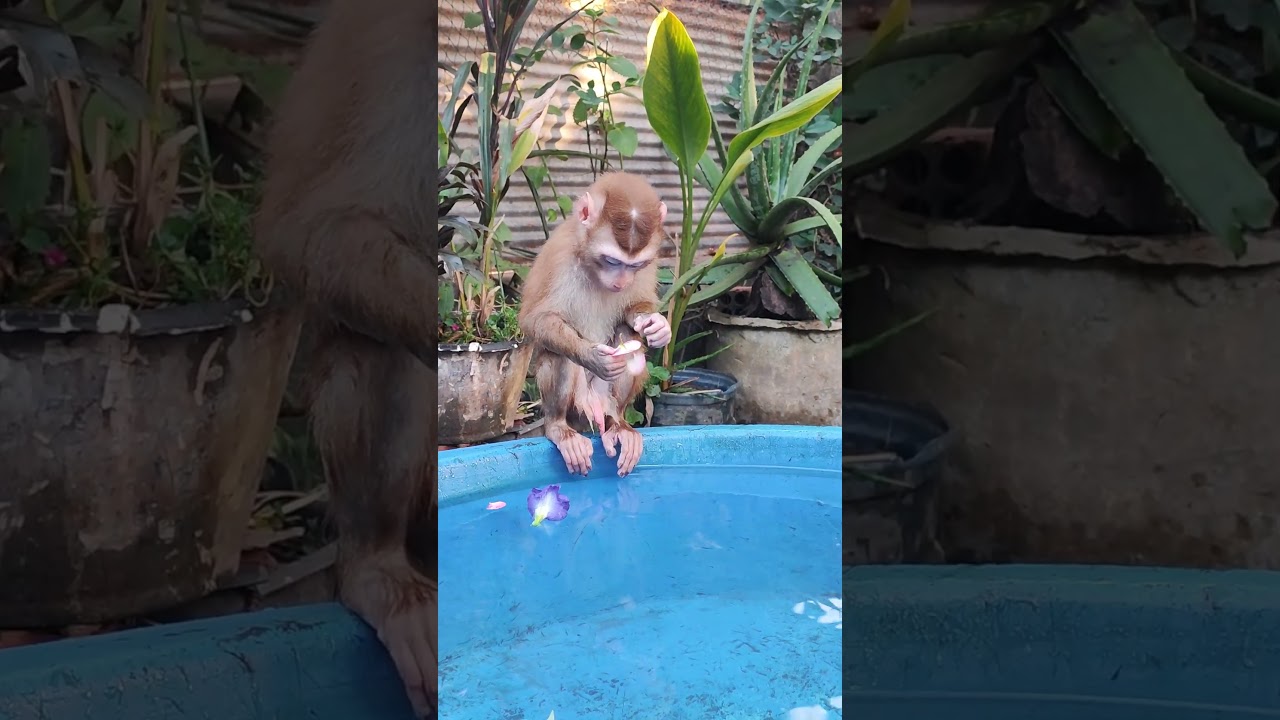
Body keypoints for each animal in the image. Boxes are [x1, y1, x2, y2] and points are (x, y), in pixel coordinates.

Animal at [518, 173, 673, 477]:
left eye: (634, 266)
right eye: (611, 260)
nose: (621, 282)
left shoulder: (650, 263)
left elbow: (636, 308)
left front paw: (659, 327)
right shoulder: (558, 254)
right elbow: (536, 320)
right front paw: (592, 356)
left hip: (606, 399)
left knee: (629, 339)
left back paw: (619, 426)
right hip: (577, 405)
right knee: (559, 354)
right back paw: (559, 428)